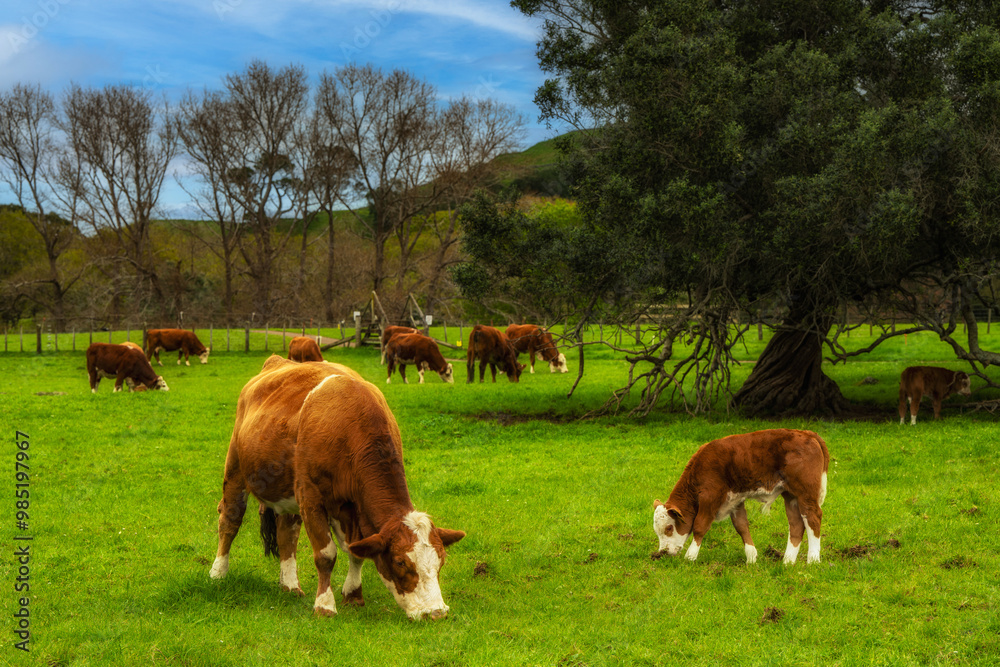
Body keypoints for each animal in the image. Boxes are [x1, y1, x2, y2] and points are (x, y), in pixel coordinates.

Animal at [212, 354, 468, 620]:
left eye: (441, 560)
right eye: (400, 562)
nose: (436, 612)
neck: (351, 428)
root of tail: (278, 360)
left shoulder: (352, 507)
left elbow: (356, 551)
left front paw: (353, 595)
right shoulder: (311, 498)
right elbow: (326, 555)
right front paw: (325, 605)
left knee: (287, 533)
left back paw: (290, 585)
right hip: (236, 468)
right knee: (230, 519)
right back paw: (218, 572)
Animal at [648, 430, 828, 568]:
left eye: (669, 528)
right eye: (657, 530)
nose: (663, 552)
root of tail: (806, 433)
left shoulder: (710, 497)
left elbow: (700, 526)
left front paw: (690, 557)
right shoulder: (735, 501)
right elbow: (741, 527)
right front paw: (751, 558)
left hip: (806, 493)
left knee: (813, 518)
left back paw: (813, 560)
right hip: (790, 495)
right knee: (796, 524)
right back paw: (787, 561)